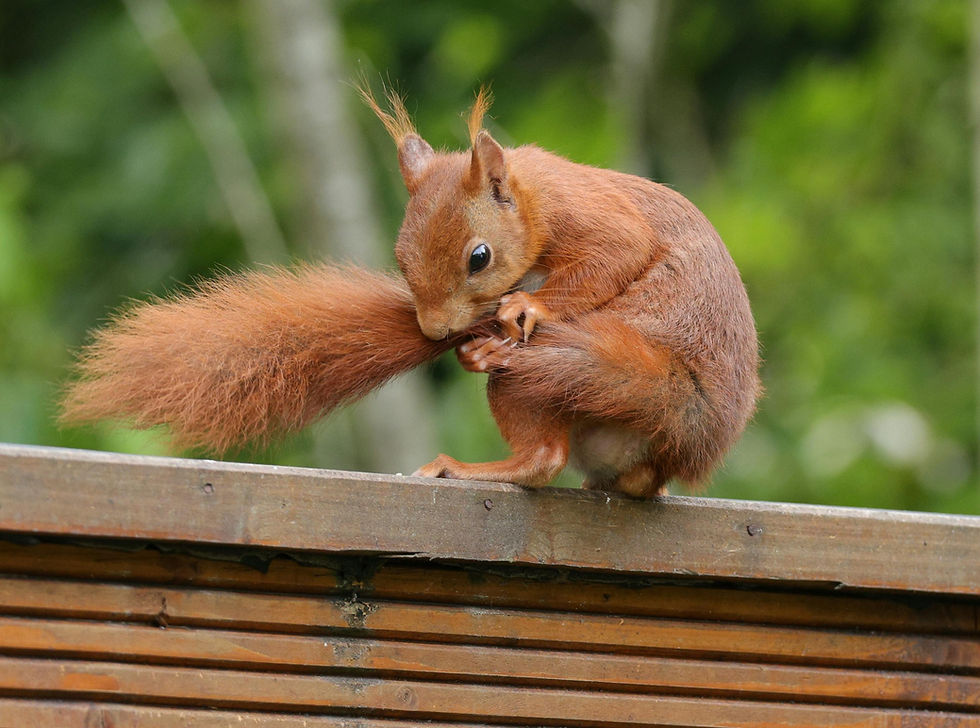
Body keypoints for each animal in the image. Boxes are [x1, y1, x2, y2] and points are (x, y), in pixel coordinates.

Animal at [61, 87, 760, 498]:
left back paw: (469, 458)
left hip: (562, 372)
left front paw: (528, 304)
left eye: (479, 257)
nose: (435, 330)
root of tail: (690, 426)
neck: (531, 193)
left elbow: (618, 253)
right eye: (400, 259)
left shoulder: (593, 214)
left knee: (542, 457)